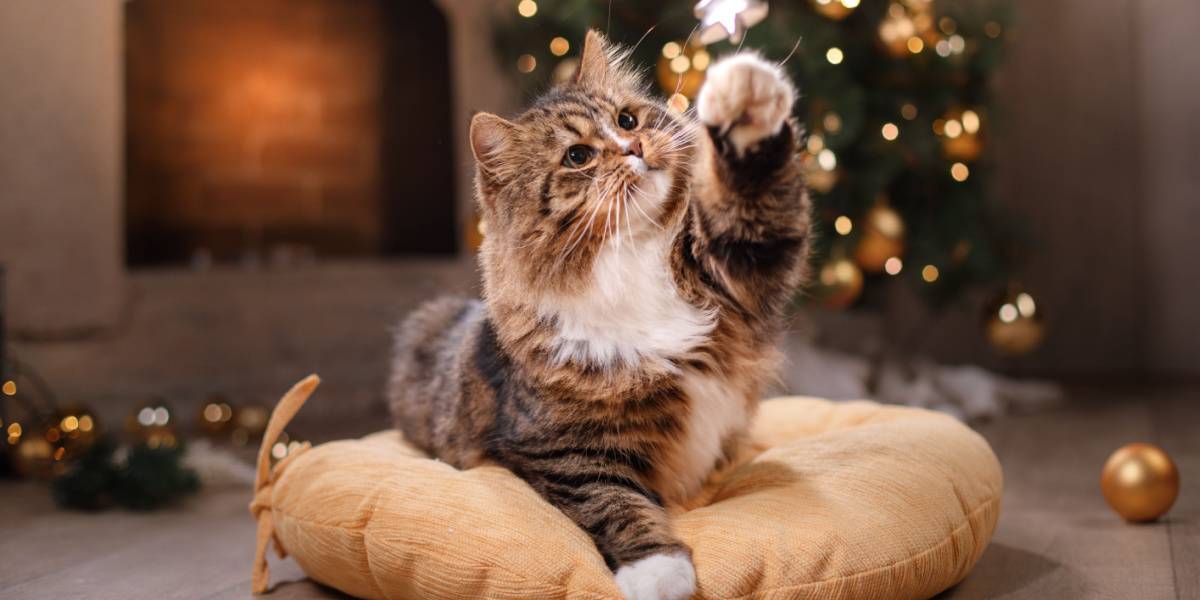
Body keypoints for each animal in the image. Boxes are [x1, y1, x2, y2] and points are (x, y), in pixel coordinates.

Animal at [388, 31, 811, 600]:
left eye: (628, 120)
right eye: (578, 156)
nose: (634, 148)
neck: (627, 256)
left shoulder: (741, 268)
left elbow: (754, 194)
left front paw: (746, 96)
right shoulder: (563, 451)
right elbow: (614, 503)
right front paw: (660, 573)